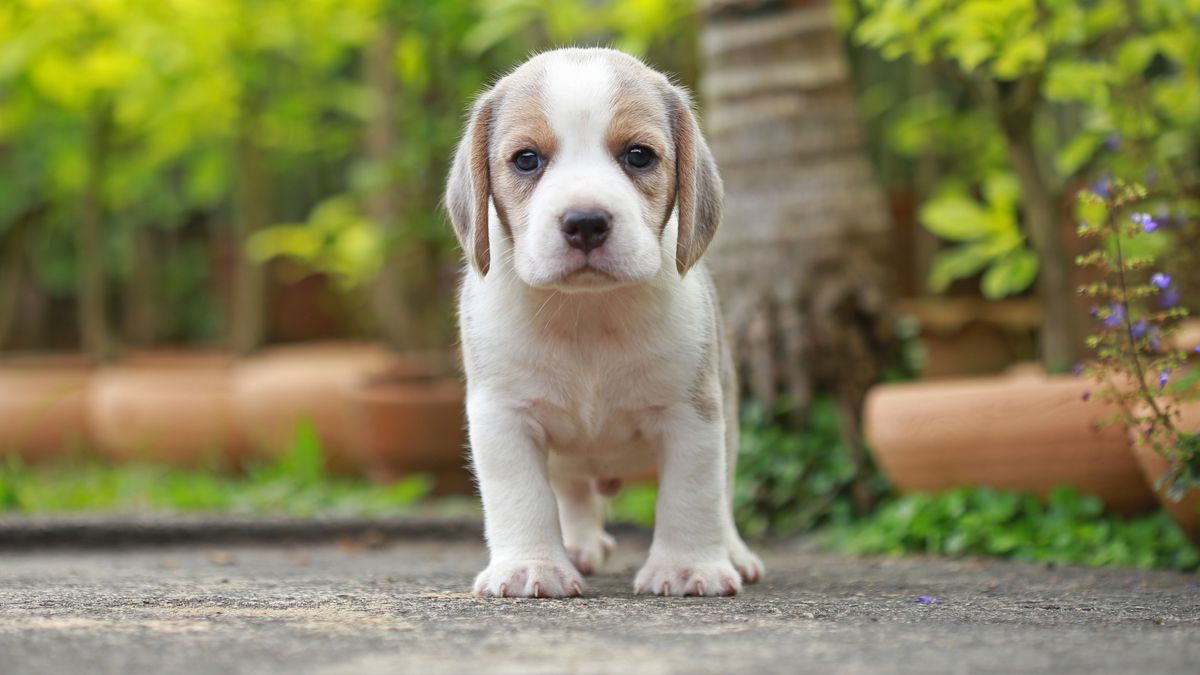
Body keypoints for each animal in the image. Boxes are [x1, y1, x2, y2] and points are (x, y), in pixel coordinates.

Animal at [446, 45, 763, 593]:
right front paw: (531, 566)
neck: (586, 313)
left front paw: (688, 567)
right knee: (571, 493)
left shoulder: (692, 414)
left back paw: (734, 553)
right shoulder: (503, 416)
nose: (586, 222)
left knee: (721, 498)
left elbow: (693, 495)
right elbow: (521, 497)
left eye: (638, 155)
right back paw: (577, 547)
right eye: (526, 160)